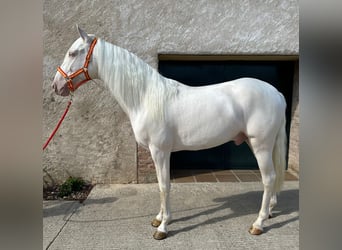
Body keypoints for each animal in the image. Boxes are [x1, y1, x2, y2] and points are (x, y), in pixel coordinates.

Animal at [50, 26, 286, 239]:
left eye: (73, 53)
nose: (56, 85)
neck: (146, 97)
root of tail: (276, 93)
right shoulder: (158, 153)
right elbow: (160, 185)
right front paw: (159, 219)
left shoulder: (160, 151)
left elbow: (164, 186)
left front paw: (163, 228)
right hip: (258, 144)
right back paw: (270, 212)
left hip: (261, 145)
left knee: (269, 178)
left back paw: (258, 223)